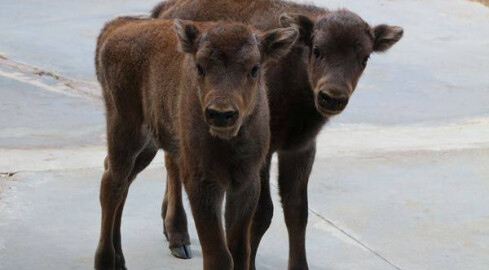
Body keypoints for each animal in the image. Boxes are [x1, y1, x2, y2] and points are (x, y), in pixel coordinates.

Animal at [92, 16, 298, 270]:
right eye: (199, 67)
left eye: (254, 69)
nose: (221, 113)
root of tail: (117, 26)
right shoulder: (201, 183)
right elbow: (219, 255)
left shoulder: (246, 182)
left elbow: (239, 249)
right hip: (125, 132)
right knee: (112, 184)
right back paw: (105, 260)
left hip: (147, 145)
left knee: (122, 182)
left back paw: (119, 259)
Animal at [152, 1, 404, 268]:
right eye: (317, 50)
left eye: (364, 57)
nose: (332, 96)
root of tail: (166, 9)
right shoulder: (265, 151)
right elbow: (263, 213)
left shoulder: (299, 149)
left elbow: (297, 212)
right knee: (173, 164)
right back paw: (178, 237)